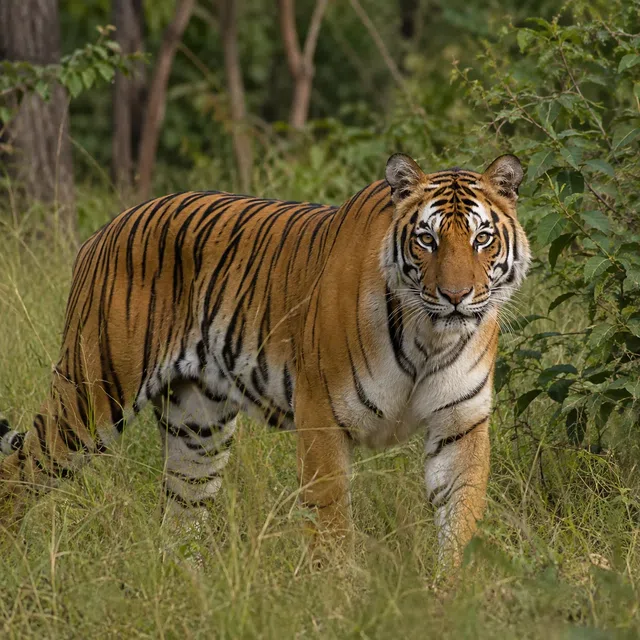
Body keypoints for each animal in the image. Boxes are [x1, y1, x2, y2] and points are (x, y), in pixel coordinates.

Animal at [0, 153, 529, 565]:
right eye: (427, 239)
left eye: (482, 239)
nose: (456, 297)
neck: (430, 337)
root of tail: (102, 231)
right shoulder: (322, 416)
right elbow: (333, 526)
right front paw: (340, 602)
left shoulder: (459, 422)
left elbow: (459, 520)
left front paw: (447, 596)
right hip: (93, 395)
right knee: (19, 469)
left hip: (198, 427)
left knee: (179, 522)